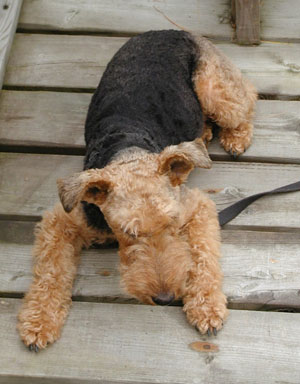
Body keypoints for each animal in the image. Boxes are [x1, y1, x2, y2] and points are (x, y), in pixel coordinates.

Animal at [17, 29, 255, 352]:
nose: (165, 298)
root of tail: (176, 31)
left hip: (215, 90)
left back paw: (235, 138)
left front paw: (206, 308)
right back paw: (204, 133)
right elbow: (51, 270)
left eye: (172, 224)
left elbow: (204, 257)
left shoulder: (196, 207)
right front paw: (38, 323)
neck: (127, 150)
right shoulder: (61, 220)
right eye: (128, 232)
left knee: (247, 100)